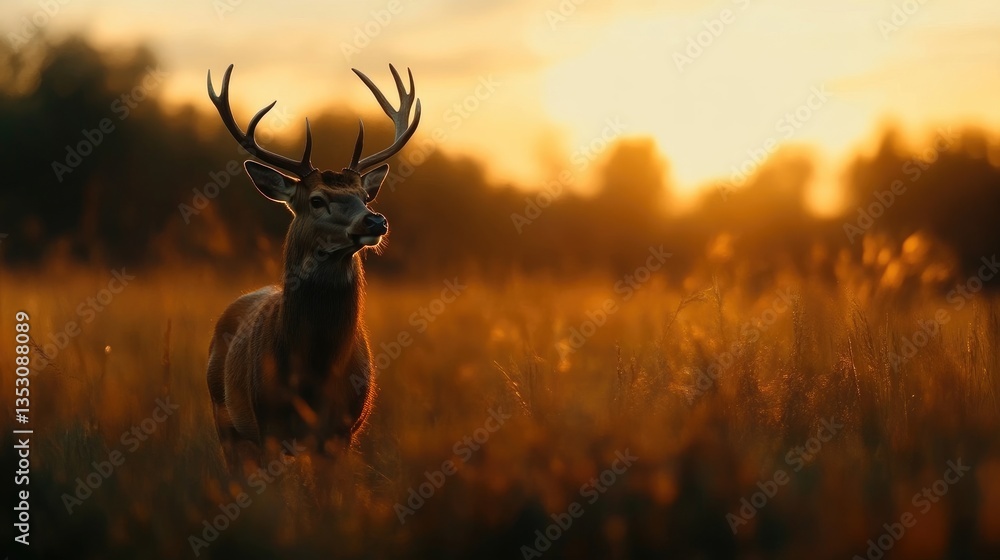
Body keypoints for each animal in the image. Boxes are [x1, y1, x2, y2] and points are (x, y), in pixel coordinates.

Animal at [204, 63, 420, 475]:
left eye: (365, 196)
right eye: (317, 200)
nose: (375, 221)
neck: (313, 370)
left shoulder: (342, 432)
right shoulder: (268, 426)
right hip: (225, 422)